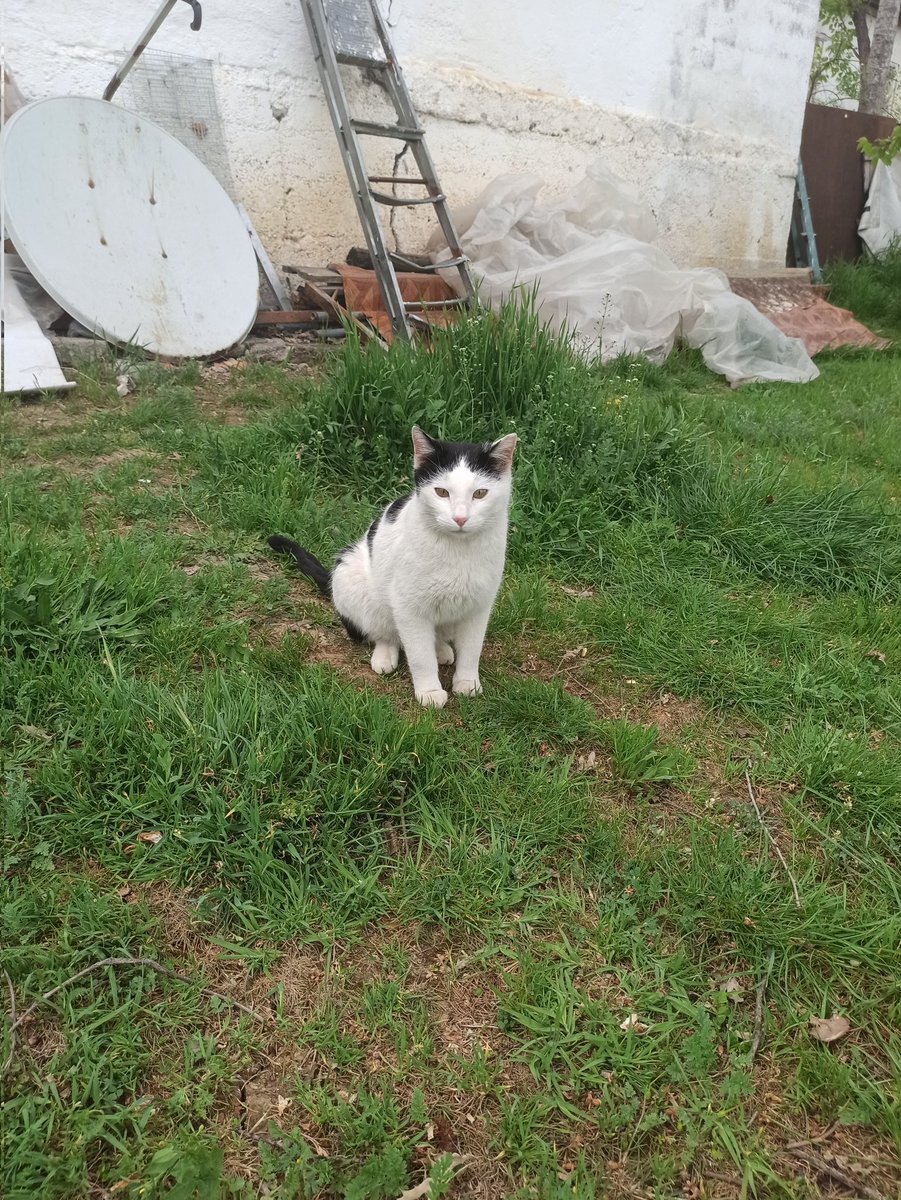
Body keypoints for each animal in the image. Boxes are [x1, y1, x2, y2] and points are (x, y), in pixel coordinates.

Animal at [267, 424, 518, 700]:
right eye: (441, 492)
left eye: (480, 494)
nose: (460, 518)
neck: (458, 551)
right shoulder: (409, 607)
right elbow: (420, 656)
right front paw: (430, 692)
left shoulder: (479, 606)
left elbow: (472, 651)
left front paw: (467, 683)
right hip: (350, 574)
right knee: (385, 633)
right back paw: (386, 655)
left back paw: (442, 649)